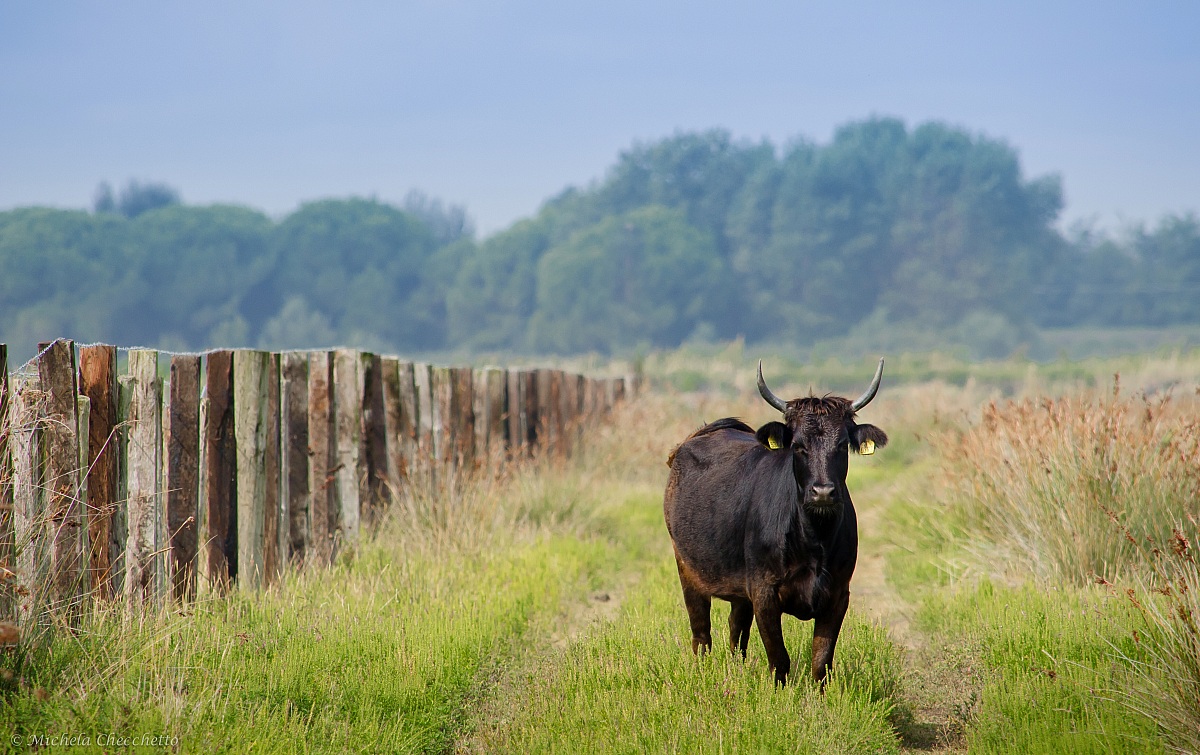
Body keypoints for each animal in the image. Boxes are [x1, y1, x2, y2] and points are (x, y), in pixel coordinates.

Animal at [663, 359, 888, 686]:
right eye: (798, 446)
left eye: (842, 444)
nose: (823, 492)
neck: (814, 542)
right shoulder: (764, 593)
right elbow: (779, 660)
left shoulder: (838, 594)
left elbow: (821, 663)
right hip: (688, 570)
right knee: (701, 634)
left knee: (736, 631)